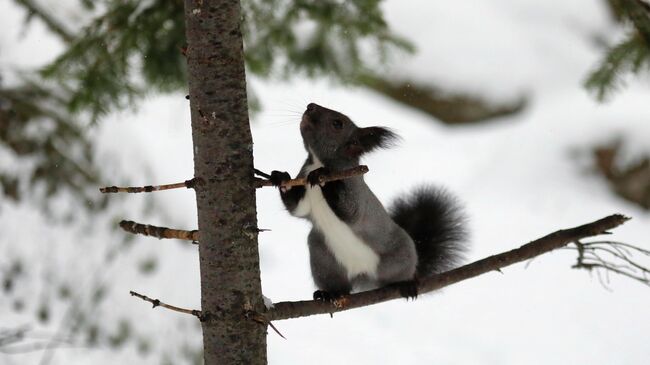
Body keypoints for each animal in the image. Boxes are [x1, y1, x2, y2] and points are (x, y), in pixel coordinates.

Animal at [270, 102, 466, 302]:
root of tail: (362, 274)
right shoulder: (304, 193)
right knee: (339, 285)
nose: (310, 106)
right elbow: (296, 209)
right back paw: (329, 293)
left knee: (398, 274)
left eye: (337, 124)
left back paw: (406, 284)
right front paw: (281, 178)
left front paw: (321, 175)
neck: (318, 162)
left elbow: (350, 212)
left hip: (399, 256)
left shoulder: (355, 191)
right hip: (323, 259)